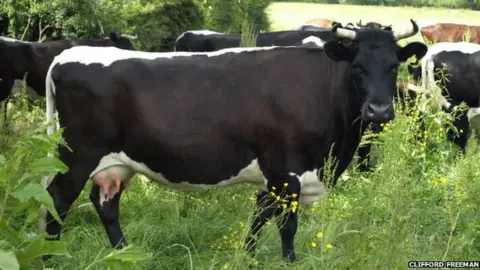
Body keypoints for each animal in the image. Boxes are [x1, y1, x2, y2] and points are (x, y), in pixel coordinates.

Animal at [40, 21, 424, 264]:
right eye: (357, 66)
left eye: (394, 66)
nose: (379, 109)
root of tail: (64, 56)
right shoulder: (288, 170)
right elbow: (287, 225)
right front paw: (289, 261)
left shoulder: (275, 175)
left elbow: (258, 218)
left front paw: (248, 256)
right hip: (77, 154)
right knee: (58, 199)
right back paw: (48, 257)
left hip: (117, 162)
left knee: (105, 203)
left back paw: (124, 253)